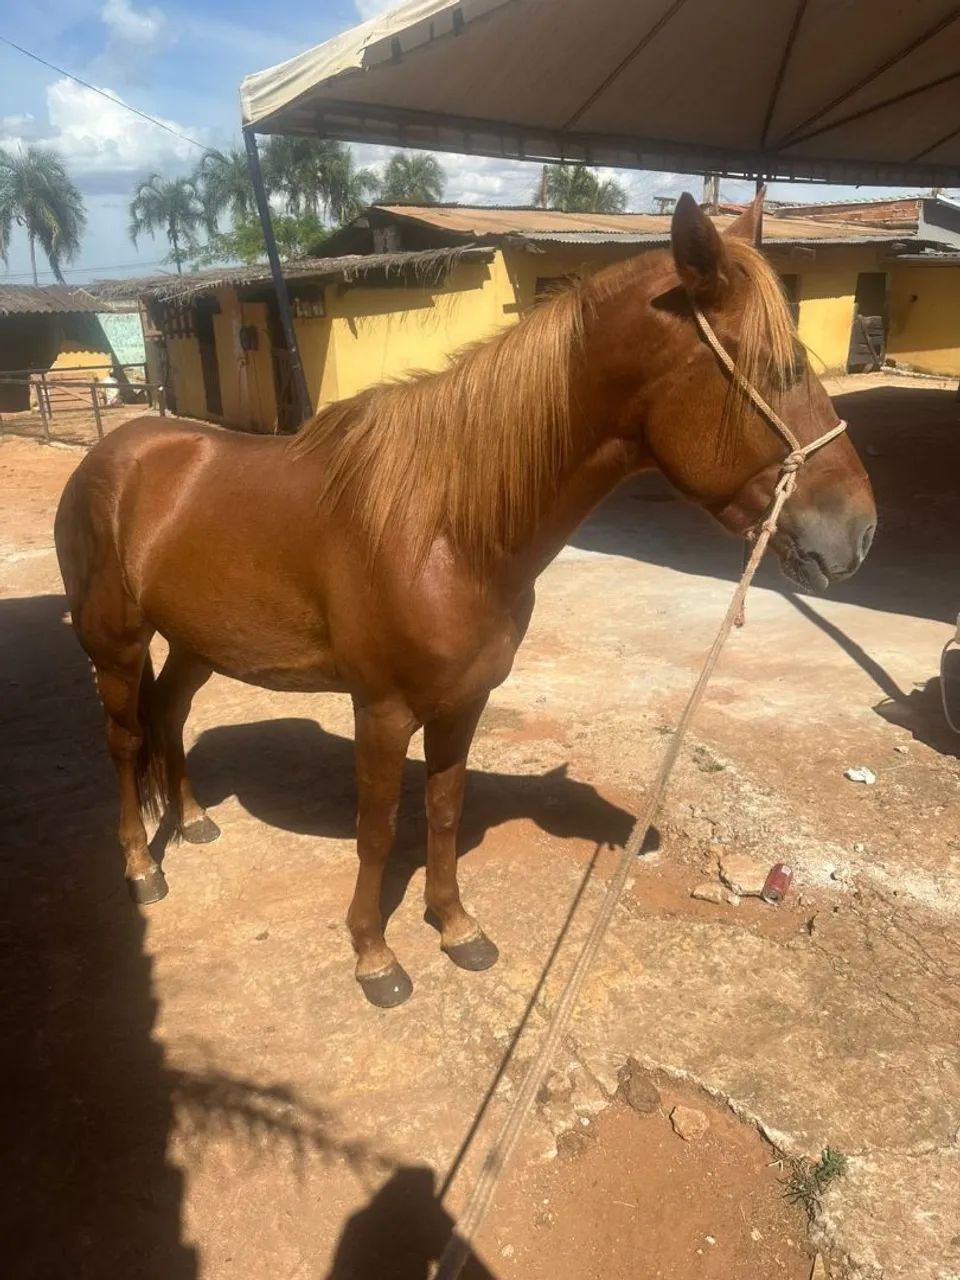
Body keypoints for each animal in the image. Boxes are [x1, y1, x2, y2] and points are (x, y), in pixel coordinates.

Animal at [54, 192, 876, 1007]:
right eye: (779, 367)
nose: (859, 535)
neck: (448, 527)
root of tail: (112, 455)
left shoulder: (464, 699)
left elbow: (444, 811)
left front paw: (455, 927)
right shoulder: (383, 710)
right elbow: (380, 828)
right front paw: (374, 955)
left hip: (197, 640)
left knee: (170, 713)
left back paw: (193, 822)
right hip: (114, 644)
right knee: (124, 741)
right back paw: (142, 868)